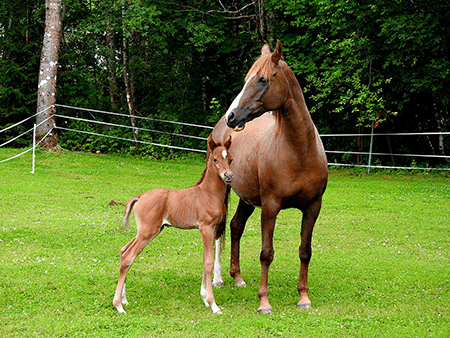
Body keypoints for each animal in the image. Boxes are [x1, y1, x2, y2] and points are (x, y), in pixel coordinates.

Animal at [209, 40, 328, 314]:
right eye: (246, 79)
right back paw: (218, 279)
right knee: (220, 230)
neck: (299, 152)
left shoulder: (312, 207)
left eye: (262, 79)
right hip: (225, 190)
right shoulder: (271, 206)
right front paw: (264, 301)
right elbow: (266, 253)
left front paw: (303, 297)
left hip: (247, 198)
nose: (232, 116)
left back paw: (237, 277)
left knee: (235, 226)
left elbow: (305, 251)